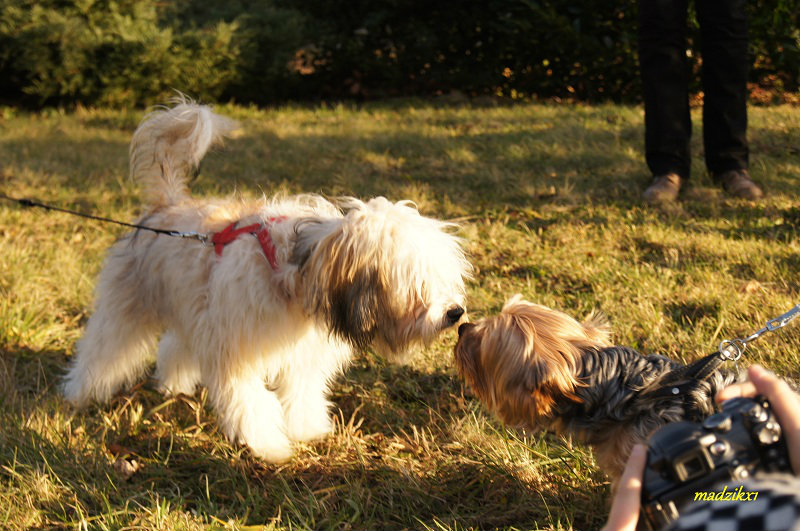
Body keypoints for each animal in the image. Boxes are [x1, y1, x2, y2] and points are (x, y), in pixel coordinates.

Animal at [67, 102, 476, 464]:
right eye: (417, 284)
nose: (455, 312)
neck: (297, 275)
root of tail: (165, 206)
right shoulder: (235, 348)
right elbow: (251, 401)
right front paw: (268, 445)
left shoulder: (299, 350)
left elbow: (303, 392)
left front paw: (308, 429)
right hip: (129, 305)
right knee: (104, 348)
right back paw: (79, 392)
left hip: (192, 304)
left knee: (174, 344)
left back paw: (174, 383)